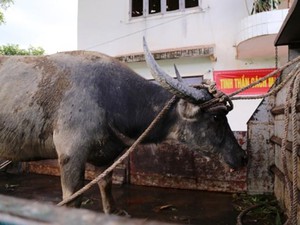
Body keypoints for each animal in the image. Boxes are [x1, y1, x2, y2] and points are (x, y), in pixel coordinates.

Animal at [0, 40, 247, 214]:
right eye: (216, 117)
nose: (243, 156)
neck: (111, 97)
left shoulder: (105, 157)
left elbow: (106, 184)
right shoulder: (71, 156)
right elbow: (73, 200)